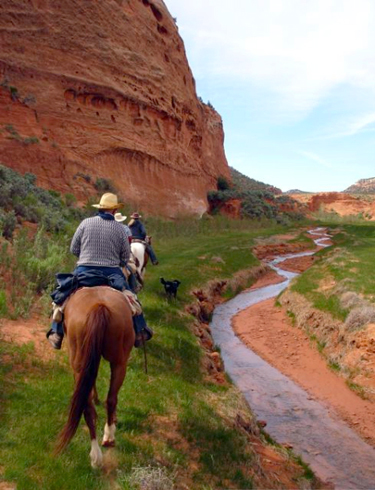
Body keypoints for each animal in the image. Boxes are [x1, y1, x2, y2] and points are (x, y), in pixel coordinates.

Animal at [54, 286, 134, 468]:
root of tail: (99, 307)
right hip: (120, 362)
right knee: (110, 399)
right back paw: (108, 437)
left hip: (79, 361)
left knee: (88, 404)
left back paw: (96, 454)